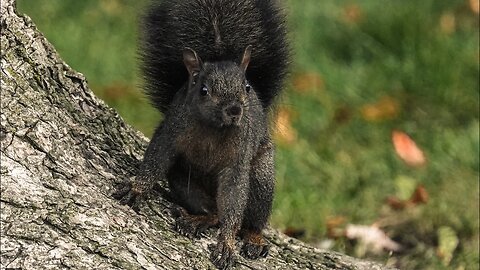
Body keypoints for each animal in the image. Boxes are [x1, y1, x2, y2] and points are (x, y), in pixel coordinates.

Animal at [112, 1, 288, 268]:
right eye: (204, 90)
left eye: (247, 87)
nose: (234, 110)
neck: (213, 128)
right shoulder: (171, 130)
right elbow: (156, 159)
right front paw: (137, 189)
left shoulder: (239, 154)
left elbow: (234, 194)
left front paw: (226, 244)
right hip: (184, 181)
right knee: (213, 212)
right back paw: (198, 219)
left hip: (261, 180)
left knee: (252, 220)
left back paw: (254, 240)